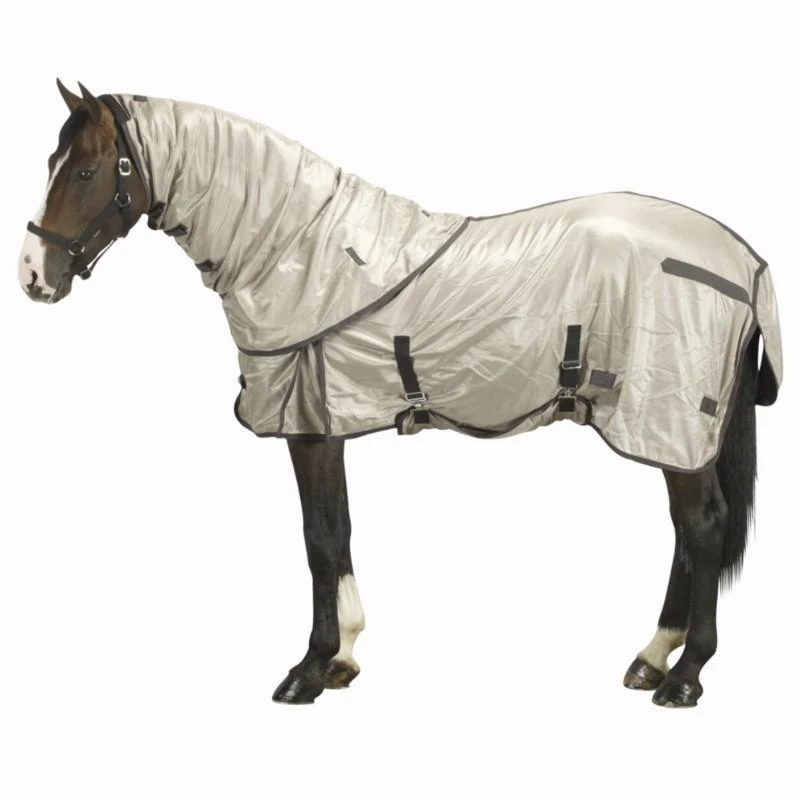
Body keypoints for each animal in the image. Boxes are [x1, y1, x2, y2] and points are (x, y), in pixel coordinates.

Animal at [18, 80, 782, 708]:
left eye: (84, 170)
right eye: (55, 163)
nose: (32, 274)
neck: (295, 248)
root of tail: (745, 258)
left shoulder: (309, 427)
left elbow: (320, 538)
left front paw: (309, 668)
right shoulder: (326, 419)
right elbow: (339, 529)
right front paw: (343, 659)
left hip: (667, 419)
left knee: (703, 526)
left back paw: (685, 677)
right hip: (675, 431)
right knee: (689, 533)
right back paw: (654, 658)